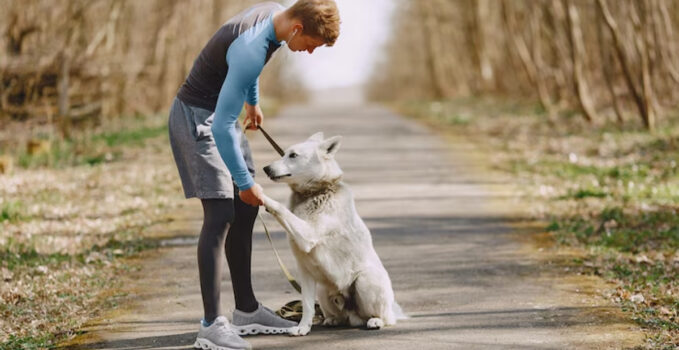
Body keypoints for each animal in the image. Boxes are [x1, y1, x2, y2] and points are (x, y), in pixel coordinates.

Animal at [260, 132, 404, 336]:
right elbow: (307, 305)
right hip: (322, 290)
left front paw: (255, 191)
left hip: (365, 281)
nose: (265, 168)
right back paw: (332, 320)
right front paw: (303, 328)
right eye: (284, 154)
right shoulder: (305, 271)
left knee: (384, 317)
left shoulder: (308, 235)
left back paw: (376, 321)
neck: (315, 193)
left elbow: (280, 207)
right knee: (336, 314)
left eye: (293, 155)